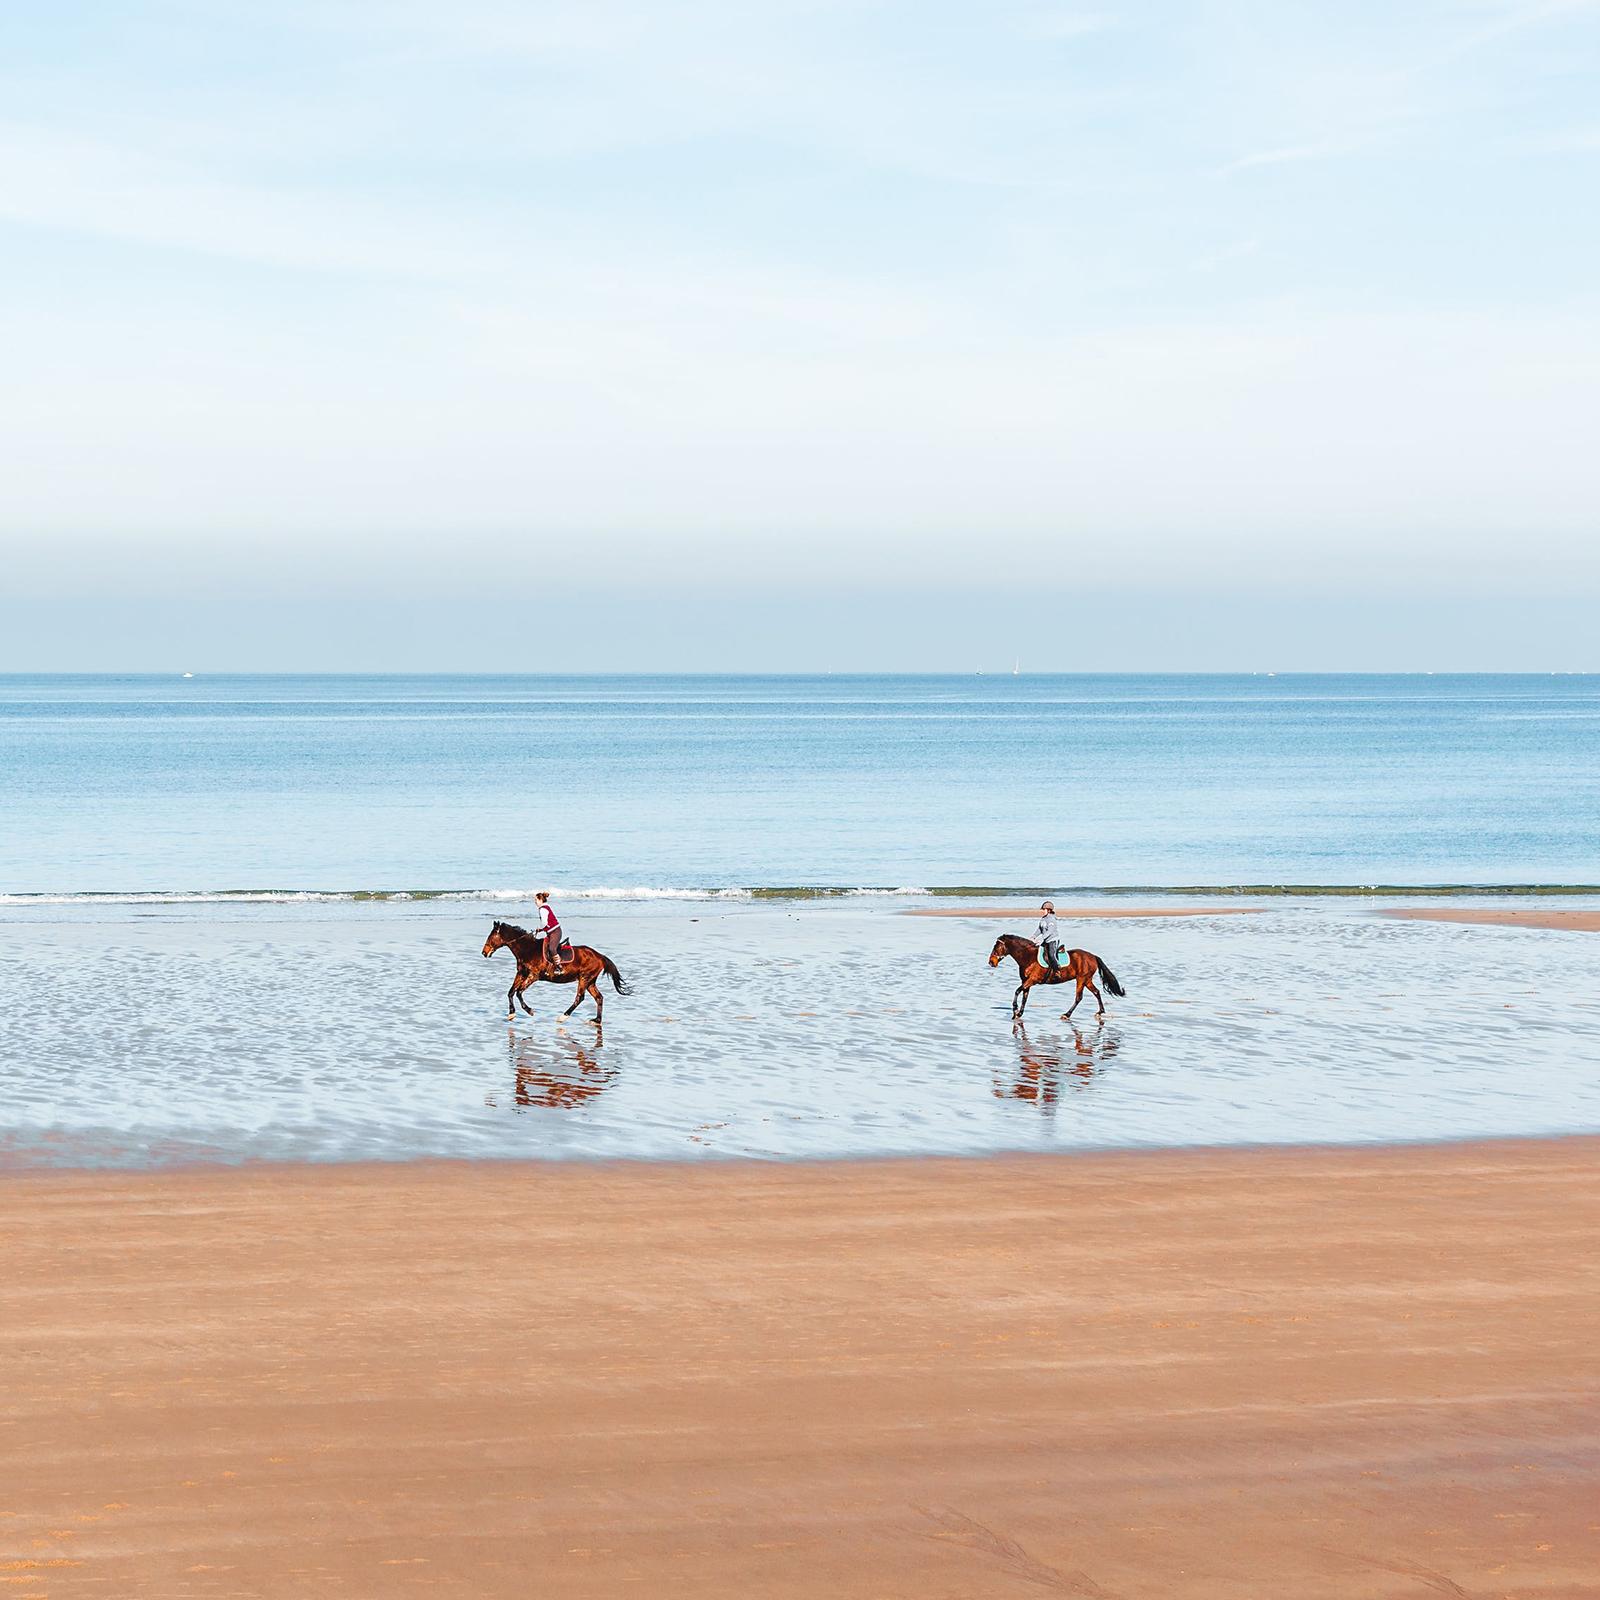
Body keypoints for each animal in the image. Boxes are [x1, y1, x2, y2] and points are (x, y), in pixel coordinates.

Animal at [480, 921, 630, 1017]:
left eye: (491, 937)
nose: (484, 953)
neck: (527, 949)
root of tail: (600, 956)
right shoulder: (522, 973)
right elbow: (511, 992)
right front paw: (511, 1013)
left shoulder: (533, 976)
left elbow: (519, 992)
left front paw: (529, 1011)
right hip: (590, 981)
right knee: (599, 998)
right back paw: (596, 1020)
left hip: (584, 978)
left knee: (580, 998)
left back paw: (564, 1016)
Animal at [985, 934, 1126, 1017]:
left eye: (996, 947)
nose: (991, 962)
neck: (1028, 957)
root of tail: (1093, 957)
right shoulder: (1026, 981)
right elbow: (1024, 995)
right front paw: (1019, 1013)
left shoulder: (1033, 980)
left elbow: (1017, 991)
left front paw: (1015, 1009)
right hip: (1087, 980)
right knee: (1096, 992)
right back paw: (1100, 1011)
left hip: (1081, 979)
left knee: (1079, 997)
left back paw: (1067, 1014)